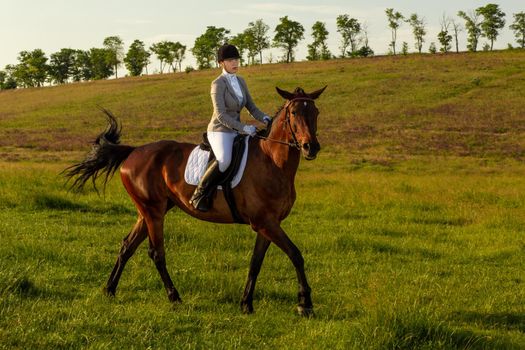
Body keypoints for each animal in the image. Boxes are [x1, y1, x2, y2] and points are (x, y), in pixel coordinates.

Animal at [64, 85, 326, 318]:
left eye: (315, 112)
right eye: (294, 113)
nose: (310, 147)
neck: (272, 161)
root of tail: (134, 152)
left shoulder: (268, 224)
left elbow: (255, 263)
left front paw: (246, 304)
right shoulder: (265, 223)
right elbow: (296, 254)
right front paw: (305, 304)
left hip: (149, 211)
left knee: (127, 246)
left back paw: (109, 290)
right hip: (153, 211)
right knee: (156, 253)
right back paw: (174, 297)